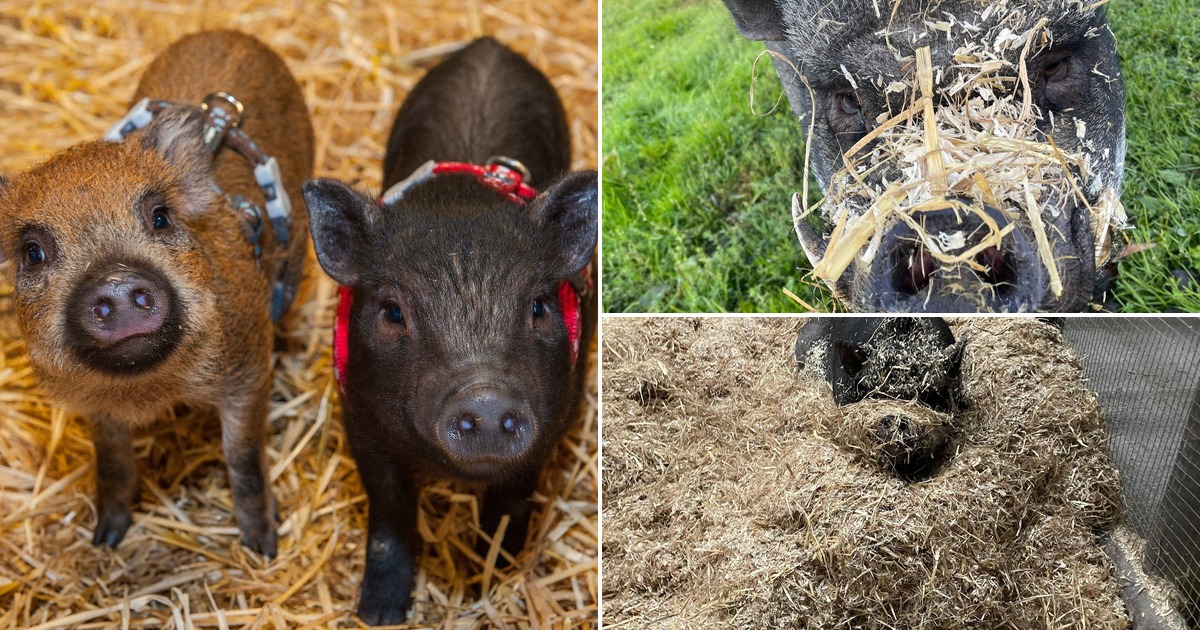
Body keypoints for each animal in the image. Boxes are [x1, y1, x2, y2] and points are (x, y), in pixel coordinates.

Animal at [0, 30, 313, 557]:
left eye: (160, 217)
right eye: (33, 252)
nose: (116, 280)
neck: (148, 389)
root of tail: (230, 33)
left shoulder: (248, 367)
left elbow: (244, 459)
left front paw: (263, 547)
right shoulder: (94, 407)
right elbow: (112, 464)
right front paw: (106, 540)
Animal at [301, 37, 597, 625]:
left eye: (539, 306)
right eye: (392, 311)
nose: (484, 400)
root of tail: (489, 44)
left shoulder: (553, 421)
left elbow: (509, 509)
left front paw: (493, 582)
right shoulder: (359, 418)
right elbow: (389, 519)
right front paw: (378, 615)